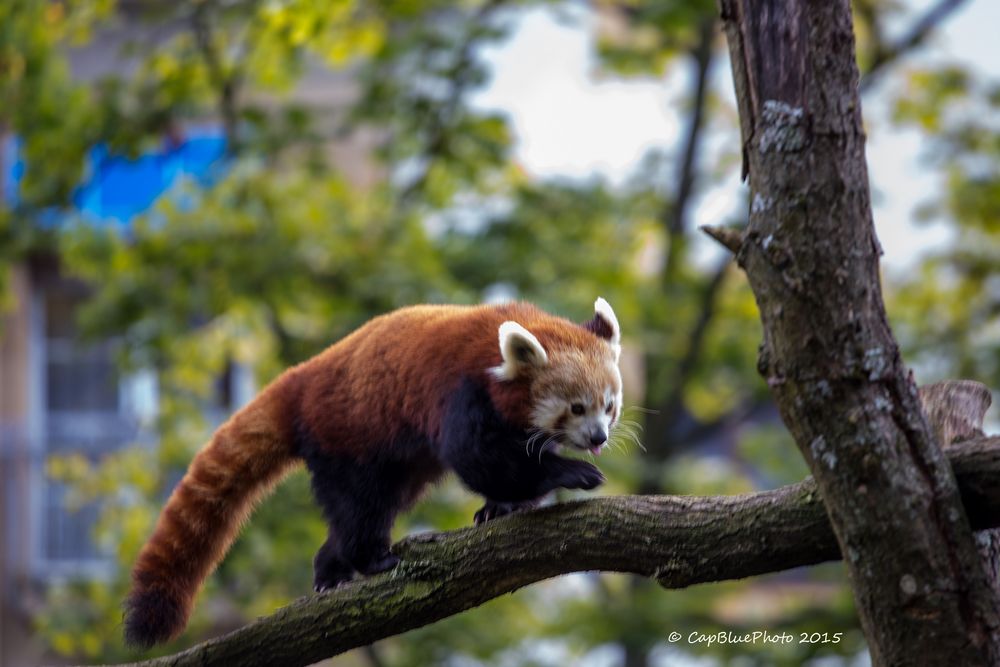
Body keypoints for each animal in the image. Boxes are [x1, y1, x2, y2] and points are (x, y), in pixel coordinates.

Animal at [123, 298, 624, 648]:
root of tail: (302, 377)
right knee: (362, 503)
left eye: (609, 406)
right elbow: (477, 456)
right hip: (348, 434)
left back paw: (330, 570)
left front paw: (500, 508)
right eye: (576, 408)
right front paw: (571, 473)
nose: (598, 437)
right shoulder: (463, 389)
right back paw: (371, 558)